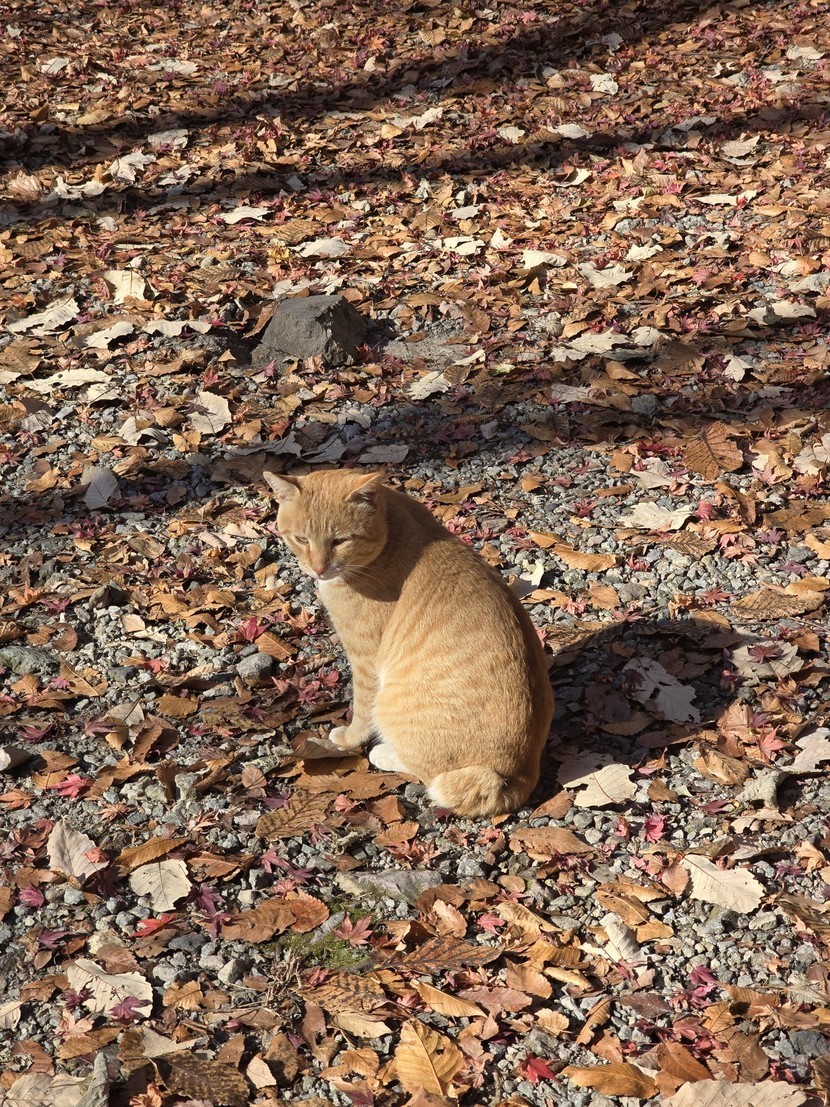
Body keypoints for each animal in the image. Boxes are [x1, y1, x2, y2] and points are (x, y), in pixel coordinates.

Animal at [270, 469, 553, 818]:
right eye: (301, 539)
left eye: (340, 541)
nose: (319, 569)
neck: (393, 525)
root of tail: (517, 776)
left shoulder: (365, 660)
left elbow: (361, 712)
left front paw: (347, 739)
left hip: (392, 703)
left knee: (426, 771)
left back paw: (383, 753)